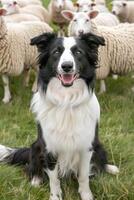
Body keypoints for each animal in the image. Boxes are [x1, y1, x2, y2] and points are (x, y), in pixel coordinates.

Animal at [0, 32, 119, 200]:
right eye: (56, 52)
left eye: (78, 52)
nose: (67, 66)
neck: (66, 101)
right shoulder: (49, 148)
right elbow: (54, 179)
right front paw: (55, 196)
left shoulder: (86, 146)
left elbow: (83, 176)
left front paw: (86, 195)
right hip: (36, 146)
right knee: (33, 165)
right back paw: (36, 179)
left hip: (98, 145)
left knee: (99, 161)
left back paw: (110, 168)